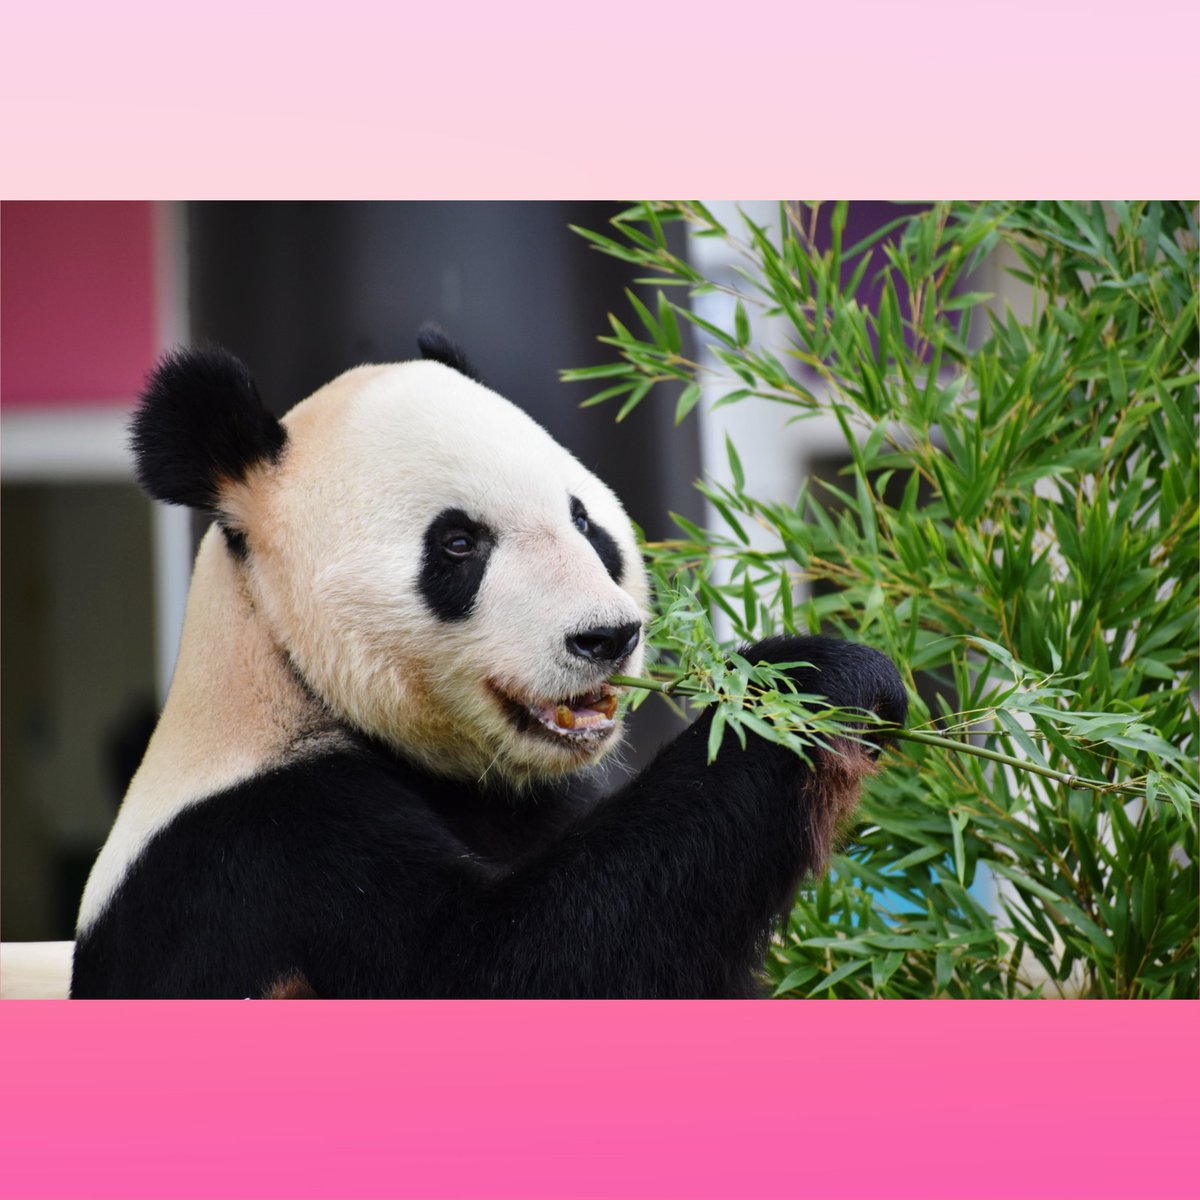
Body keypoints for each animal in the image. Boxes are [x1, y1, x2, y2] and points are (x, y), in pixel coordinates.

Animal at [71, 328, 907, 999]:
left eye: (584, 521)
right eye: (458, 544)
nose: (606, 637)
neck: (281, 671)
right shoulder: (270, 853)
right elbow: (510, 964)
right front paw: (811, 684)